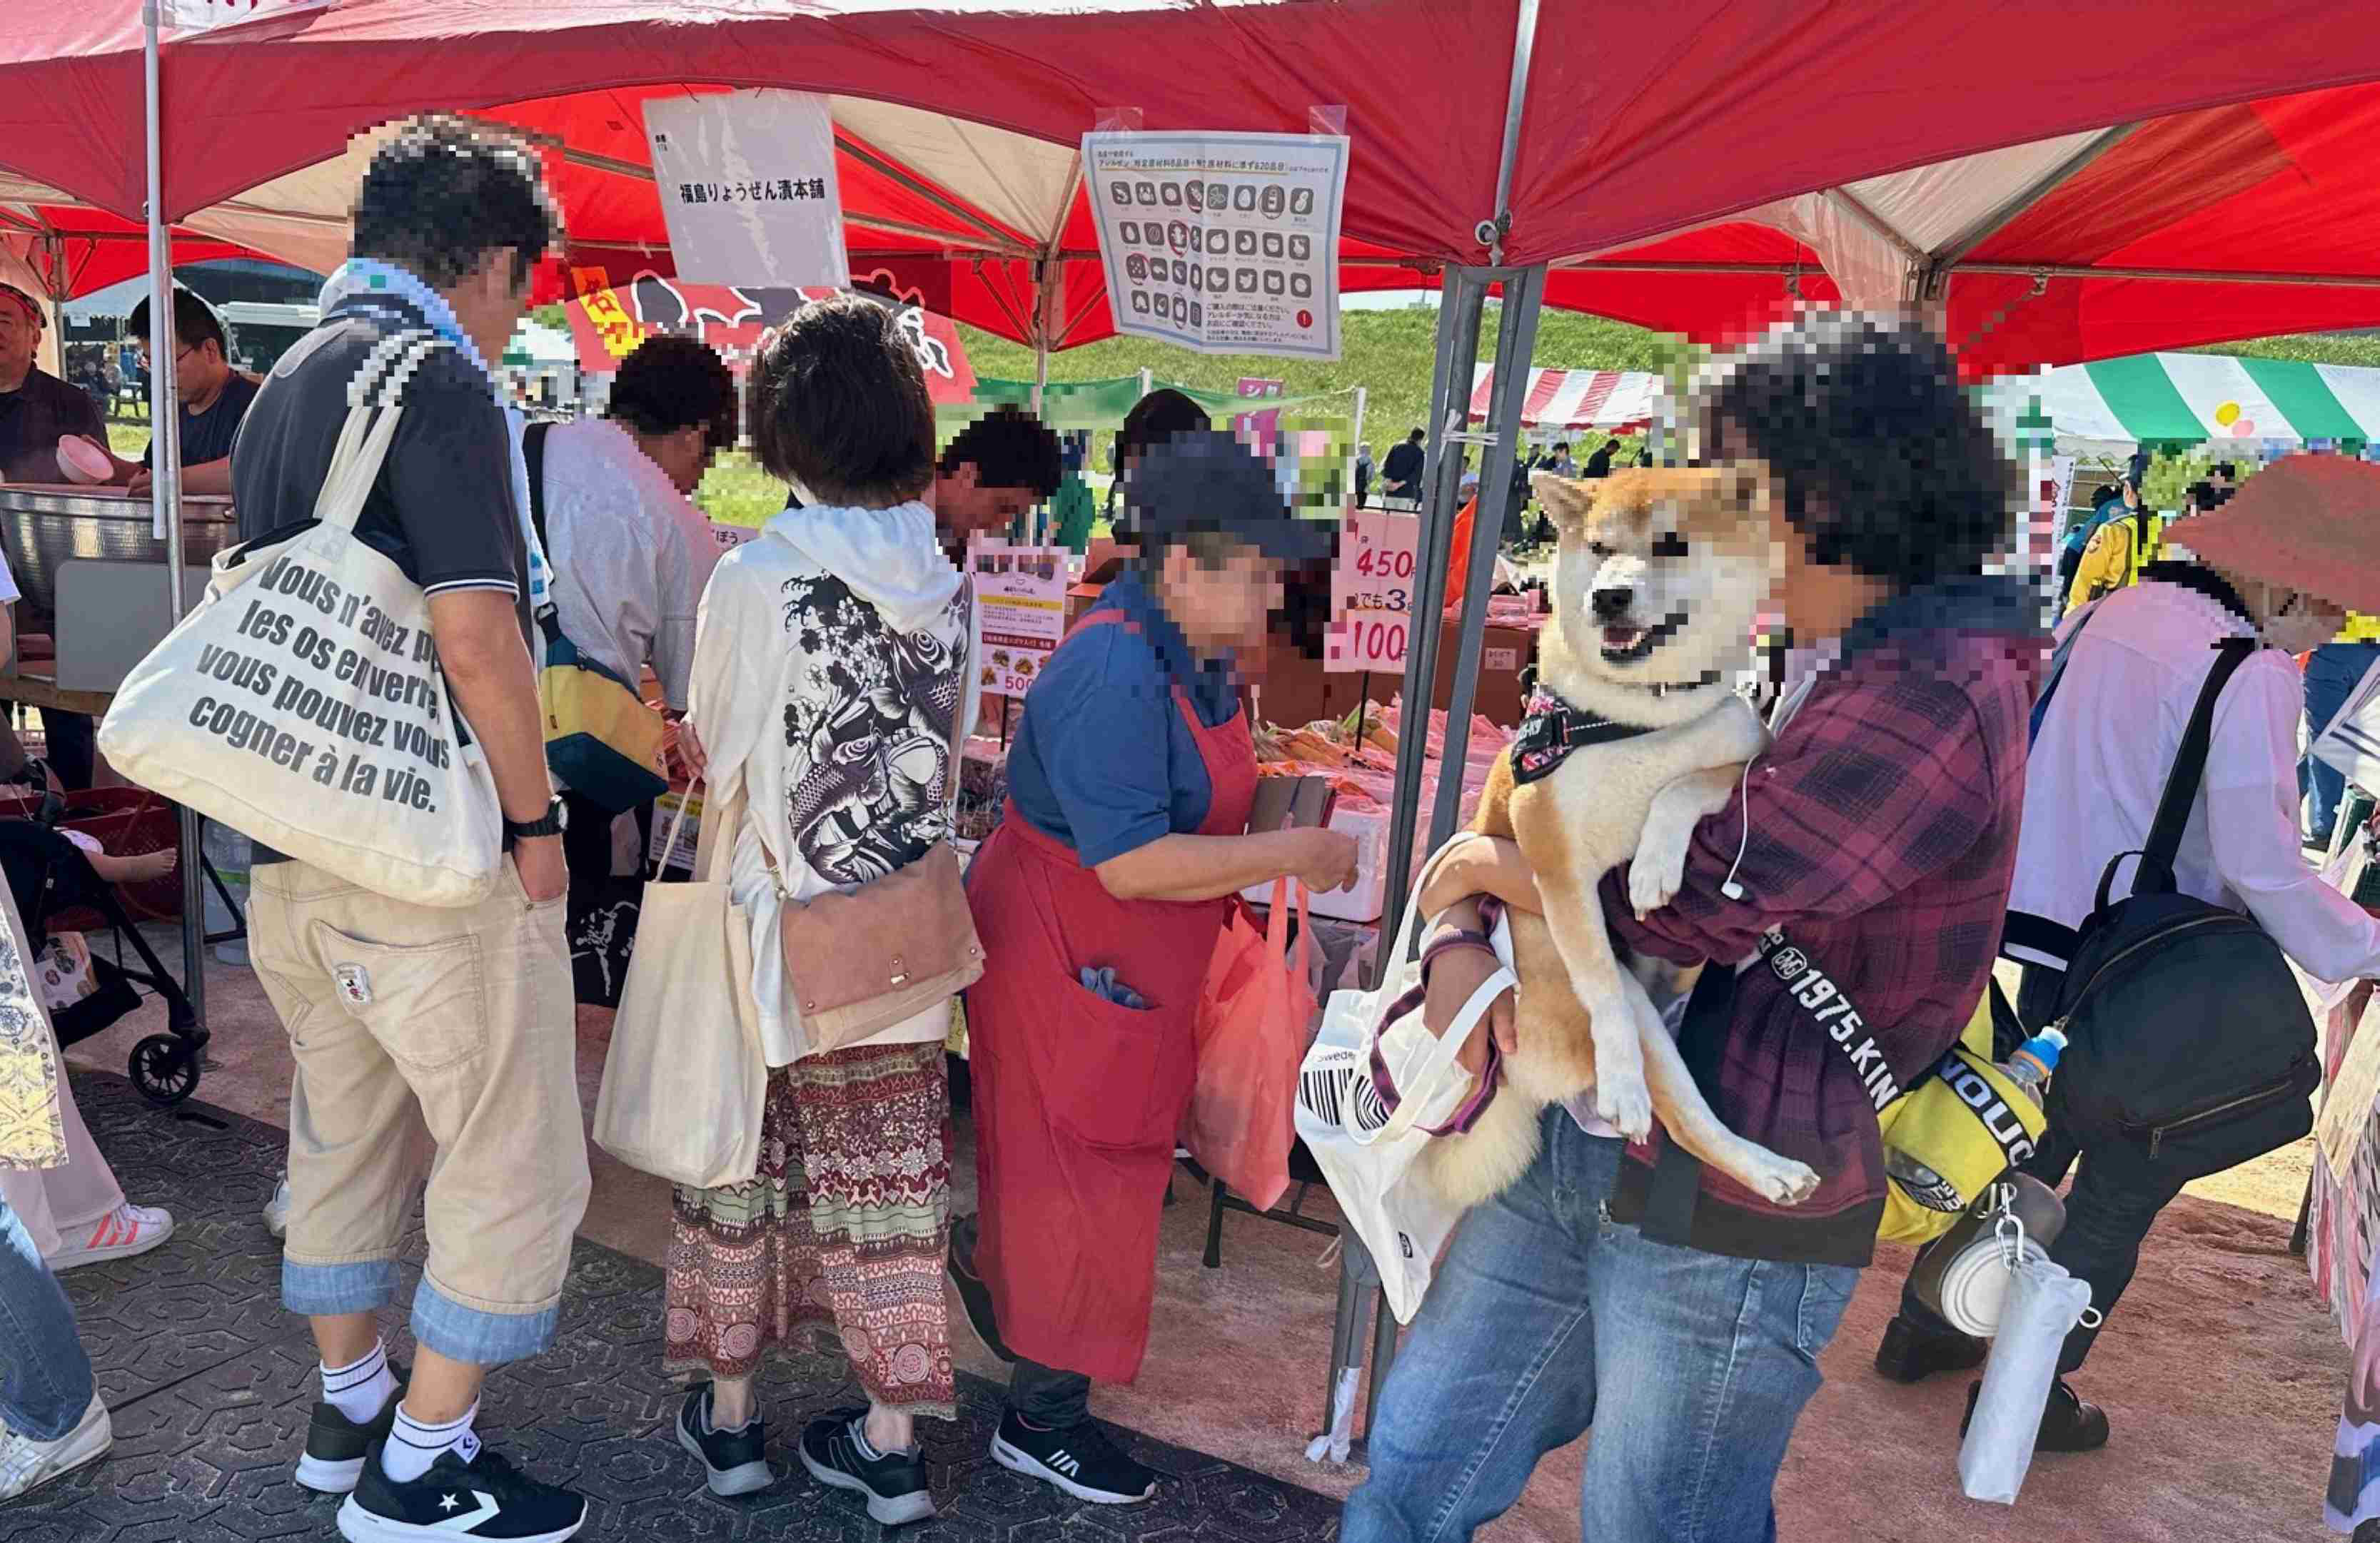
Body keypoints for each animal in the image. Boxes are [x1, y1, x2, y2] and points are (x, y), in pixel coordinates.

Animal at [1408, 464, 1818, 1209]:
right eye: (1599, 548)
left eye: (1673, 545)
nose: (1609, 597)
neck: (1637, 719)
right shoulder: (1555, 860)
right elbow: (1599, 980)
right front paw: (1624, 1084)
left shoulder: (1744, 756)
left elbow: (1685, 787)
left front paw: (1653, 867)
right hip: (1616, 1001)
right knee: (1673, 1103)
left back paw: (1767, 1167)